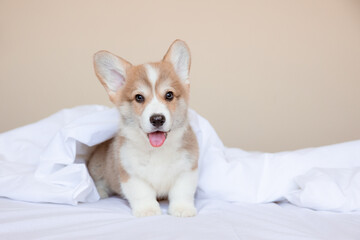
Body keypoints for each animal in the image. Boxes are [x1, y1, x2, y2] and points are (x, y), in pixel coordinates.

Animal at [87, 39, 200, 218]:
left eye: (169, 95)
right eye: (139, 97)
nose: (157, 119)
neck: (157, 151)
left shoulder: (187, 170)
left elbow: (182, 192)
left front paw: (182, 209)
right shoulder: (131, 174)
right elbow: (142, 193)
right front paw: (148, 210)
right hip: (97, 168)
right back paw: (100, 192)